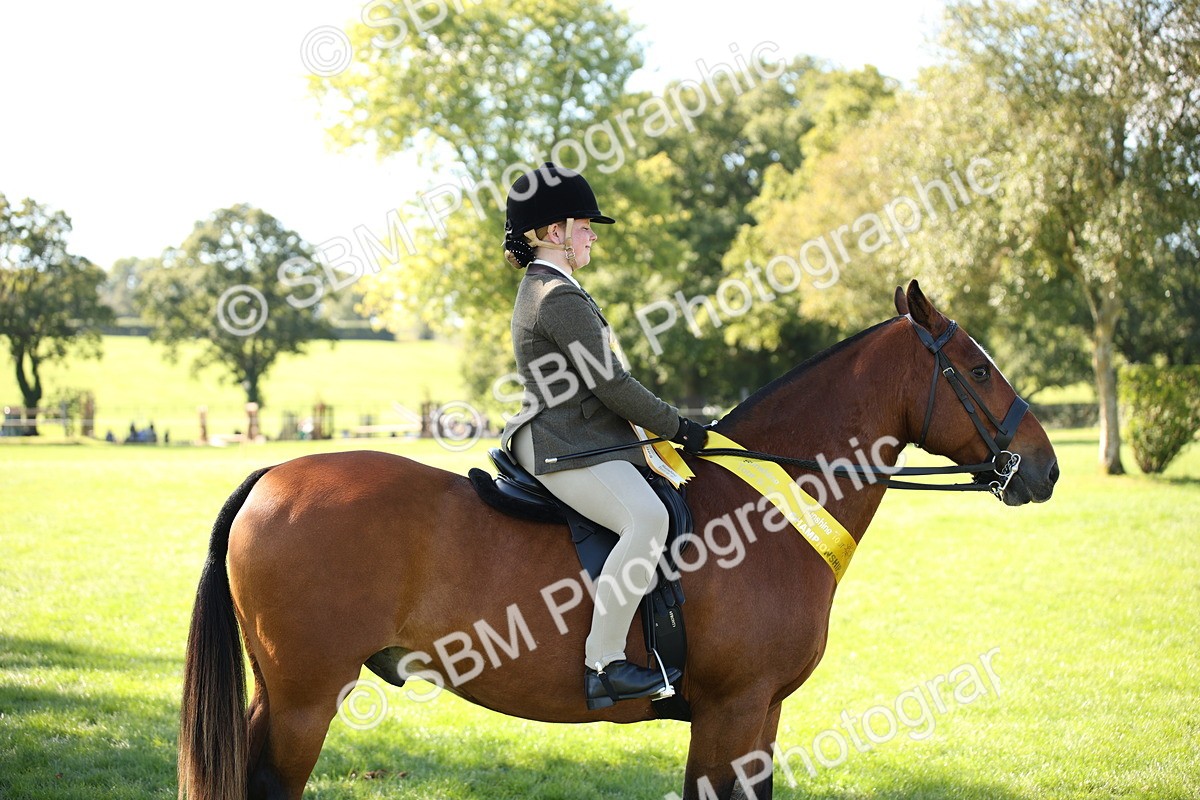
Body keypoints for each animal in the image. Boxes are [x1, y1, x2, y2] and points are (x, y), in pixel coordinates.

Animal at [178, 281, 1059, 800]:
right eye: (979, 370)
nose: (1044, 469)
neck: (770, 506)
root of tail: (272, 476)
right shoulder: (732, 713)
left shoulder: (760, 717)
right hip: (305, 700)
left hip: (283, 696)